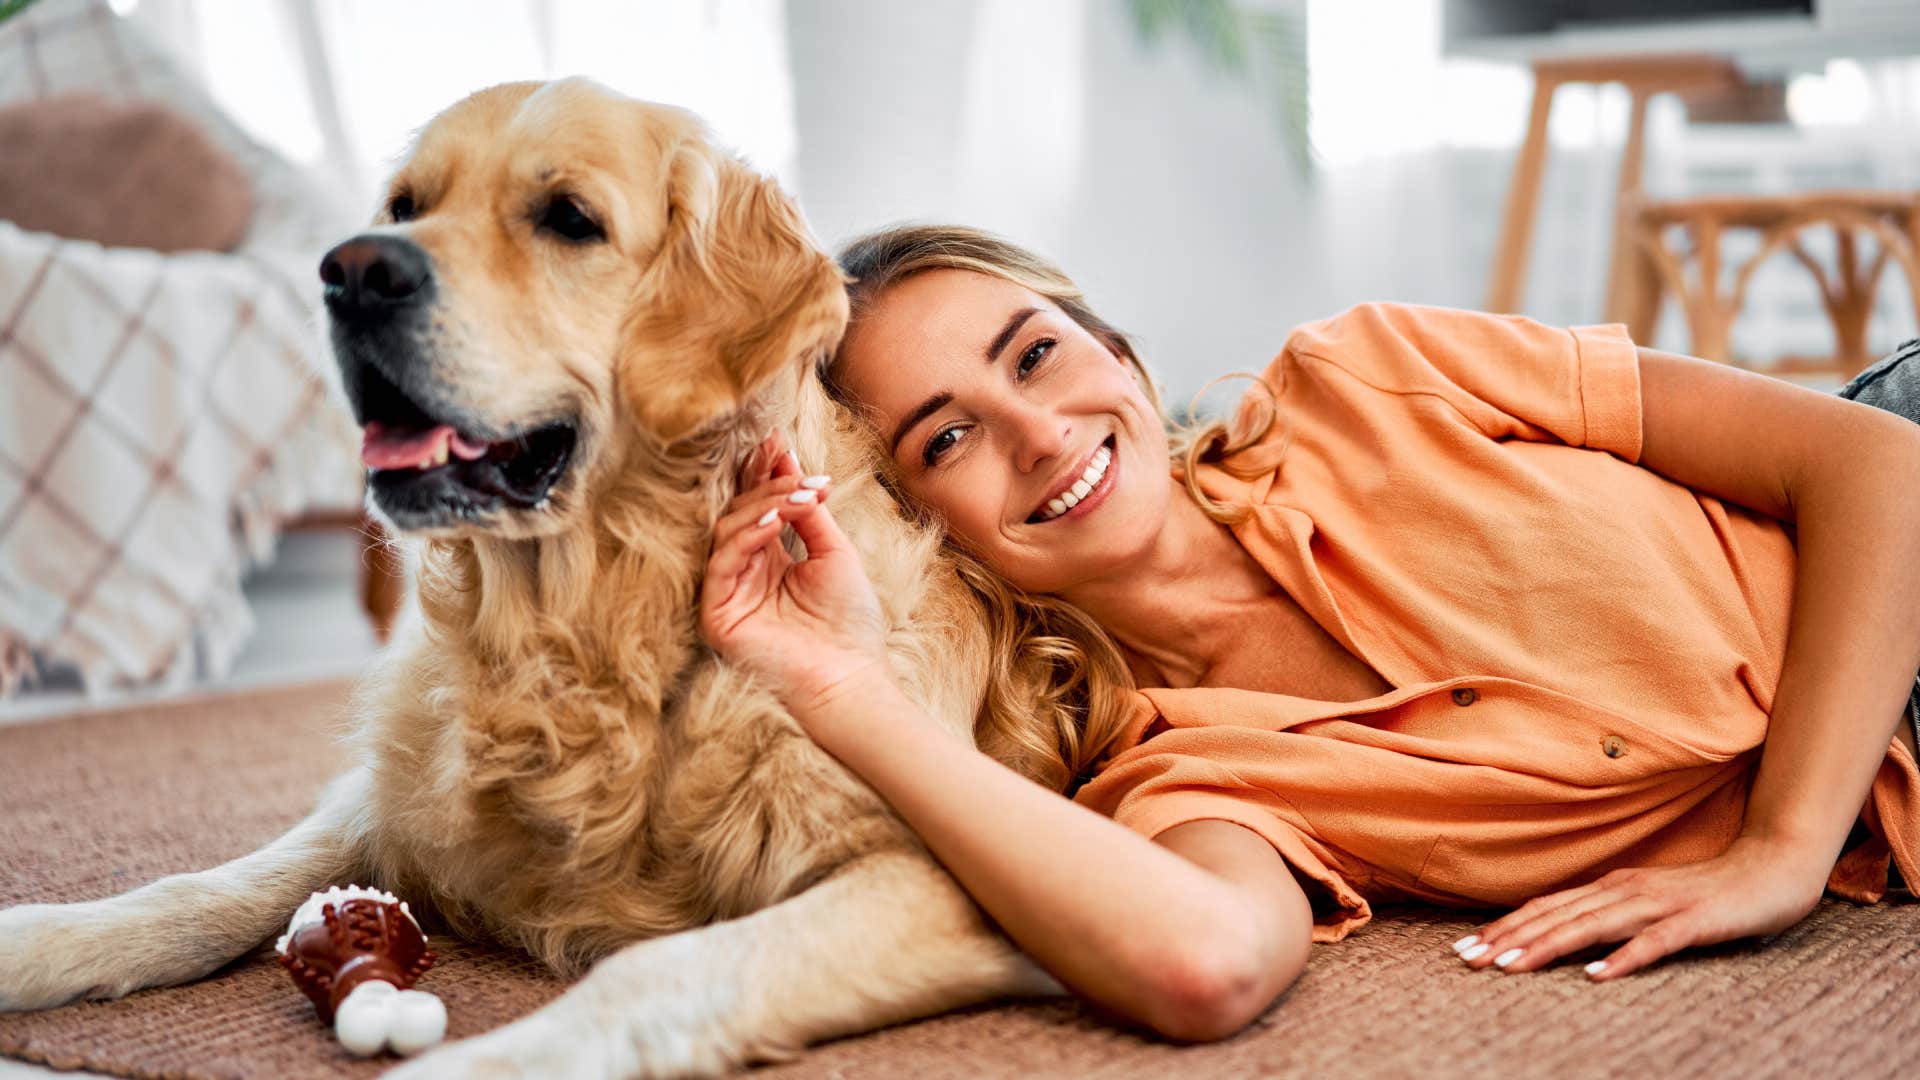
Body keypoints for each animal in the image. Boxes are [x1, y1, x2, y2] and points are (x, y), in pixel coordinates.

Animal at [0, 79, 1067, 1068]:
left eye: (569, 219)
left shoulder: (935, 876)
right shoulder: (392, 797)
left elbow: (658, 970)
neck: (599, 627)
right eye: (403, 205)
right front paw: (44, 939)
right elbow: (221, 881)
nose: (351, 271)